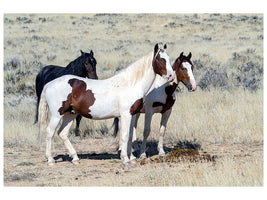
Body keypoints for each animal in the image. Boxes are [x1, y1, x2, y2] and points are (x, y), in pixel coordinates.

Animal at [37, 43, 176, 165]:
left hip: (69, 114)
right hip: (57, 115)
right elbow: (125, 135)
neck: (130, 84)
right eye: (160, 59)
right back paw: (50, 159)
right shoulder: (126, 115)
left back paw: (75, 158)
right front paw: (126, 159)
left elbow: (130, 136)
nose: (171, 76)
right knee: (50, 132)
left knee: (62, 133)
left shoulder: (132, 115)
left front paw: (131, 158)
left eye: (169, 59)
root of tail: (49, 83)